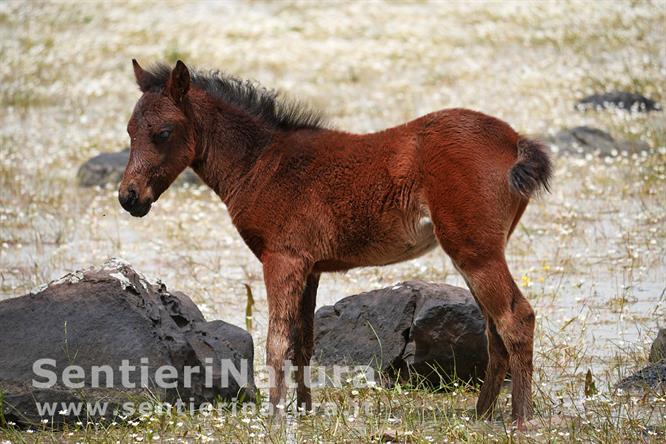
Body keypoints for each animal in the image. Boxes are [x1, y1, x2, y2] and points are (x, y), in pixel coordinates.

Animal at [118, 59, 548, 426]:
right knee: (494, 329)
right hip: (473, 253)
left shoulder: (282, 259)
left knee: (516, 318)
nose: (129, 197)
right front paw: (303, 410)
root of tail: (514, 142)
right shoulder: (310, 268)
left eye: (163, 133)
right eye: (129, 131)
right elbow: (303, 341)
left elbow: (277, 341)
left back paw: (521, 419)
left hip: (475, 252)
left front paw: (275, 418)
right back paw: (481, 413)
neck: (262, 165)